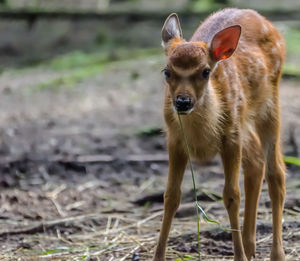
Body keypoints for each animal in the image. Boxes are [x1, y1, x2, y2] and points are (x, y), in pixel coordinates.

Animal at [155, 8, 286, 260]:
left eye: (206, 71)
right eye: (167, 71)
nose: (182, 102)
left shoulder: (230, 137)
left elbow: (232, 195)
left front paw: (239, 256)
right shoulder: (175, 140)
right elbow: (171, 196)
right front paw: (158, 256)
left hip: (269, 103)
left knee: (276, 173)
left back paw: (276, 254)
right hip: (245, 122)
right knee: (256, 163)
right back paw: (250, 246)